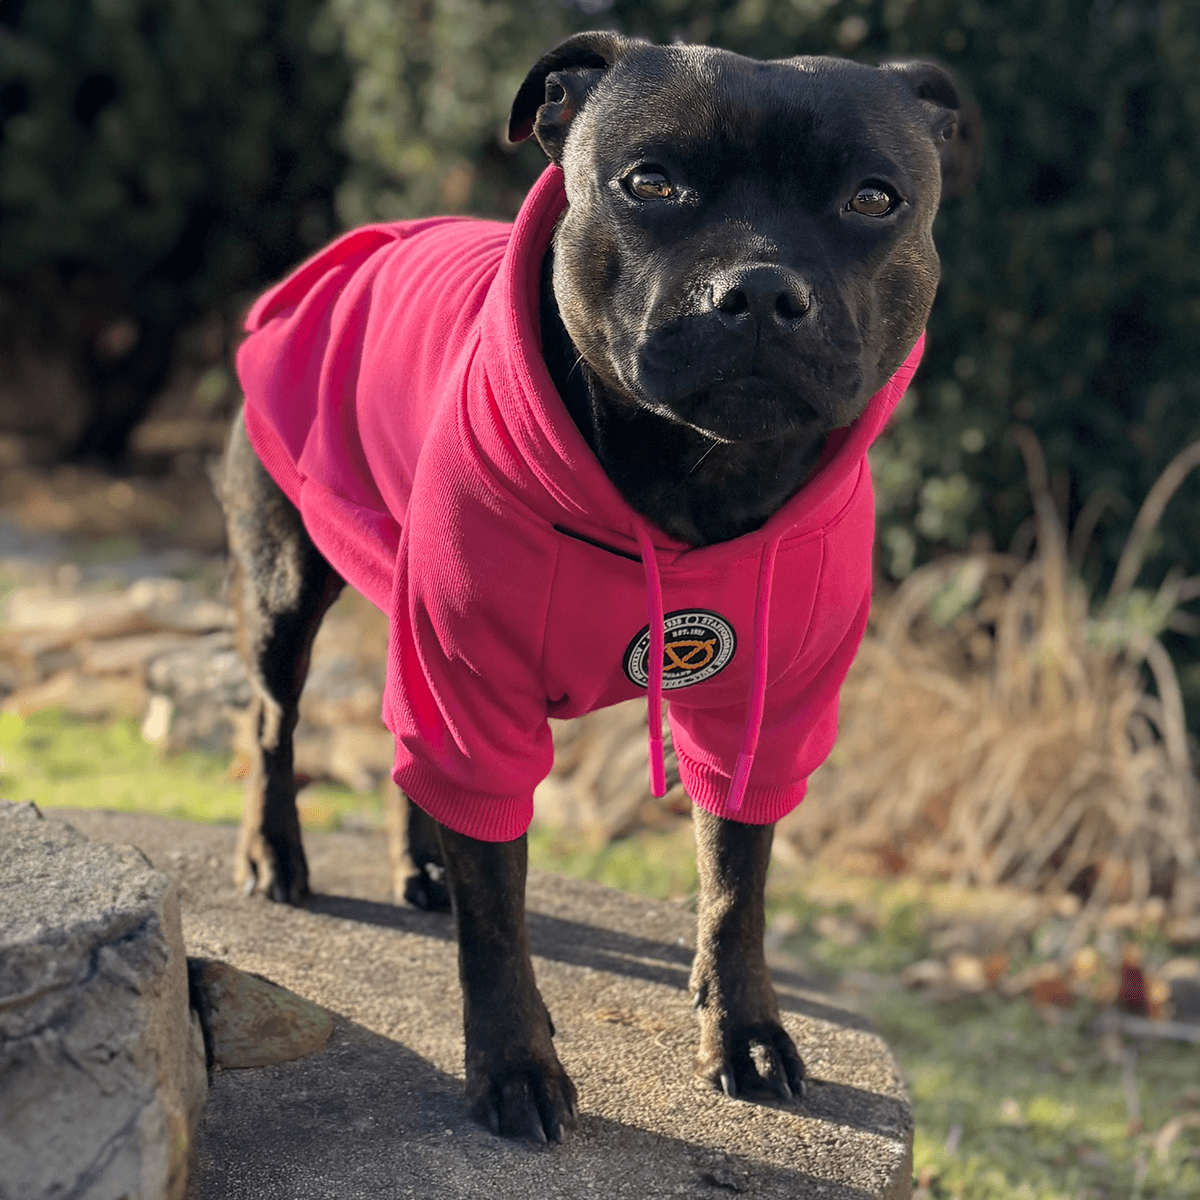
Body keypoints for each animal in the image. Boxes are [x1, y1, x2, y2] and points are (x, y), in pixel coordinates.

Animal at [223, 30, 964, 1142]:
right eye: (649, 182)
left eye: (874, 200)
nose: (758, 289)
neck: (692, 480)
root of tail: (355, 244)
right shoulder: (472, 691)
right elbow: (498, 916)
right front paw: (516, 1067)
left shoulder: (766, 713)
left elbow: (736, 885)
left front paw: (743, 1028)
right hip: (284, 589)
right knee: (275, 722)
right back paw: (275, 856)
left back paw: (420, 863)